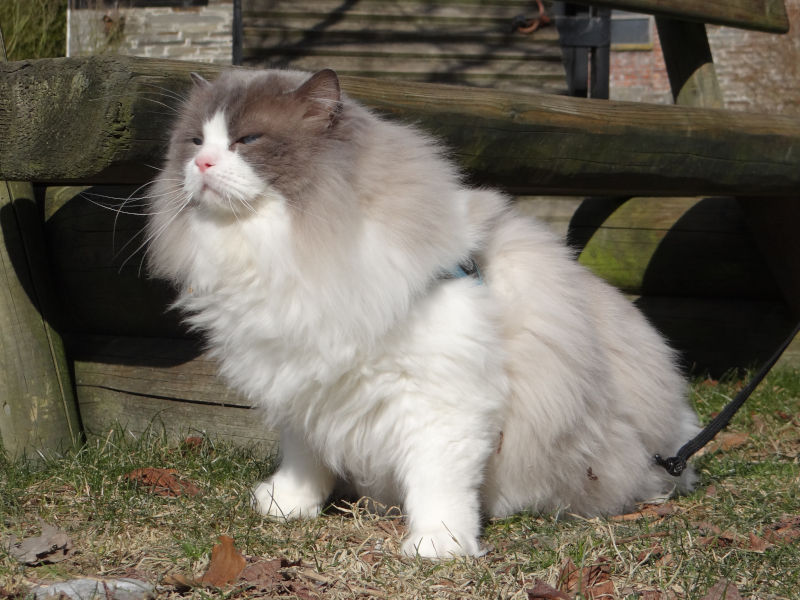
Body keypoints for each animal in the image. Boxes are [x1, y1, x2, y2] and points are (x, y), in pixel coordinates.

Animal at [145, 68, 700, 560]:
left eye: (248, 140)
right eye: (195, 141)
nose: (202, 166)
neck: (293, 249)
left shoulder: (441, 404)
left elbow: (438, 485)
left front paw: (438, 546)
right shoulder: (304, 385)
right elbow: (305, 459)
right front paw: (287, 505)